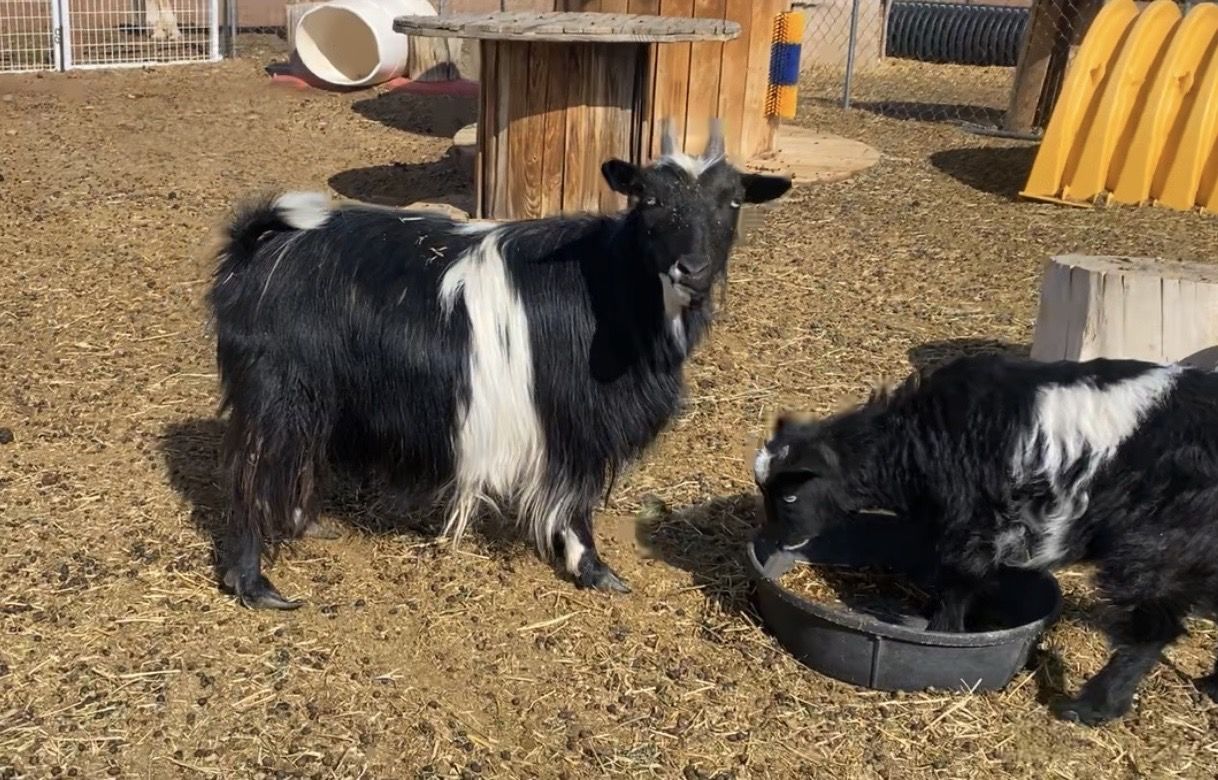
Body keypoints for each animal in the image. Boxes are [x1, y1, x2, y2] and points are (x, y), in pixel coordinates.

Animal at [207, 120, 791, 611]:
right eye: (649, 198)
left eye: (733, 200)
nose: (692, 267)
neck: (609, 283)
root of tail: (255, 248)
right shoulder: (574, 420)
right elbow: (575, 501)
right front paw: (593, 569)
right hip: (275, 393)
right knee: (249, 476)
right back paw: (255, 584)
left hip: (312, 399)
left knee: (293, 461)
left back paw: (306, 525)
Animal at [752, 353, 1218, 725]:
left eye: (791, 494)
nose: (776, 541)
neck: (918, 442)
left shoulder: (975, 522)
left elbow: (960, 581)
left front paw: (942, 633)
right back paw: (1209, 685)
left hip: (1154, 546)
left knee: (1151, 631)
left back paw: (1092, 708)